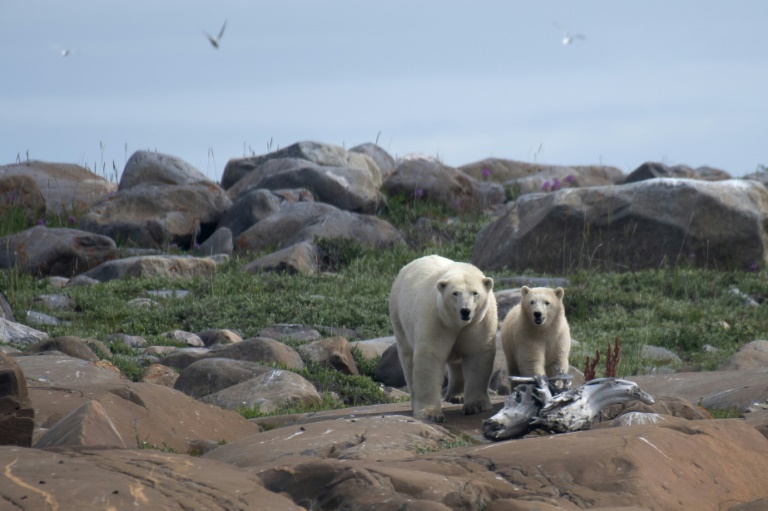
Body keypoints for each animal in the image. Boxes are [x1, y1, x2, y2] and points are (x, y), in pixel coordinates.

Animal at [390, 256, 498, 424]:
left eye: (475, 293)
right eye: (455, 293)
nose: (465, 311)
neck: (458, 323)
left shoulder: (479, 322)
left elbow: (477, 354)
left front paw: (476, 406)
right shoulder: (437, 319)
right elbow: (430, 356)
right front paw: (431, 413)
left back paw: (457, 395)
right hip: (399, 318)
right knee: (408, 359)